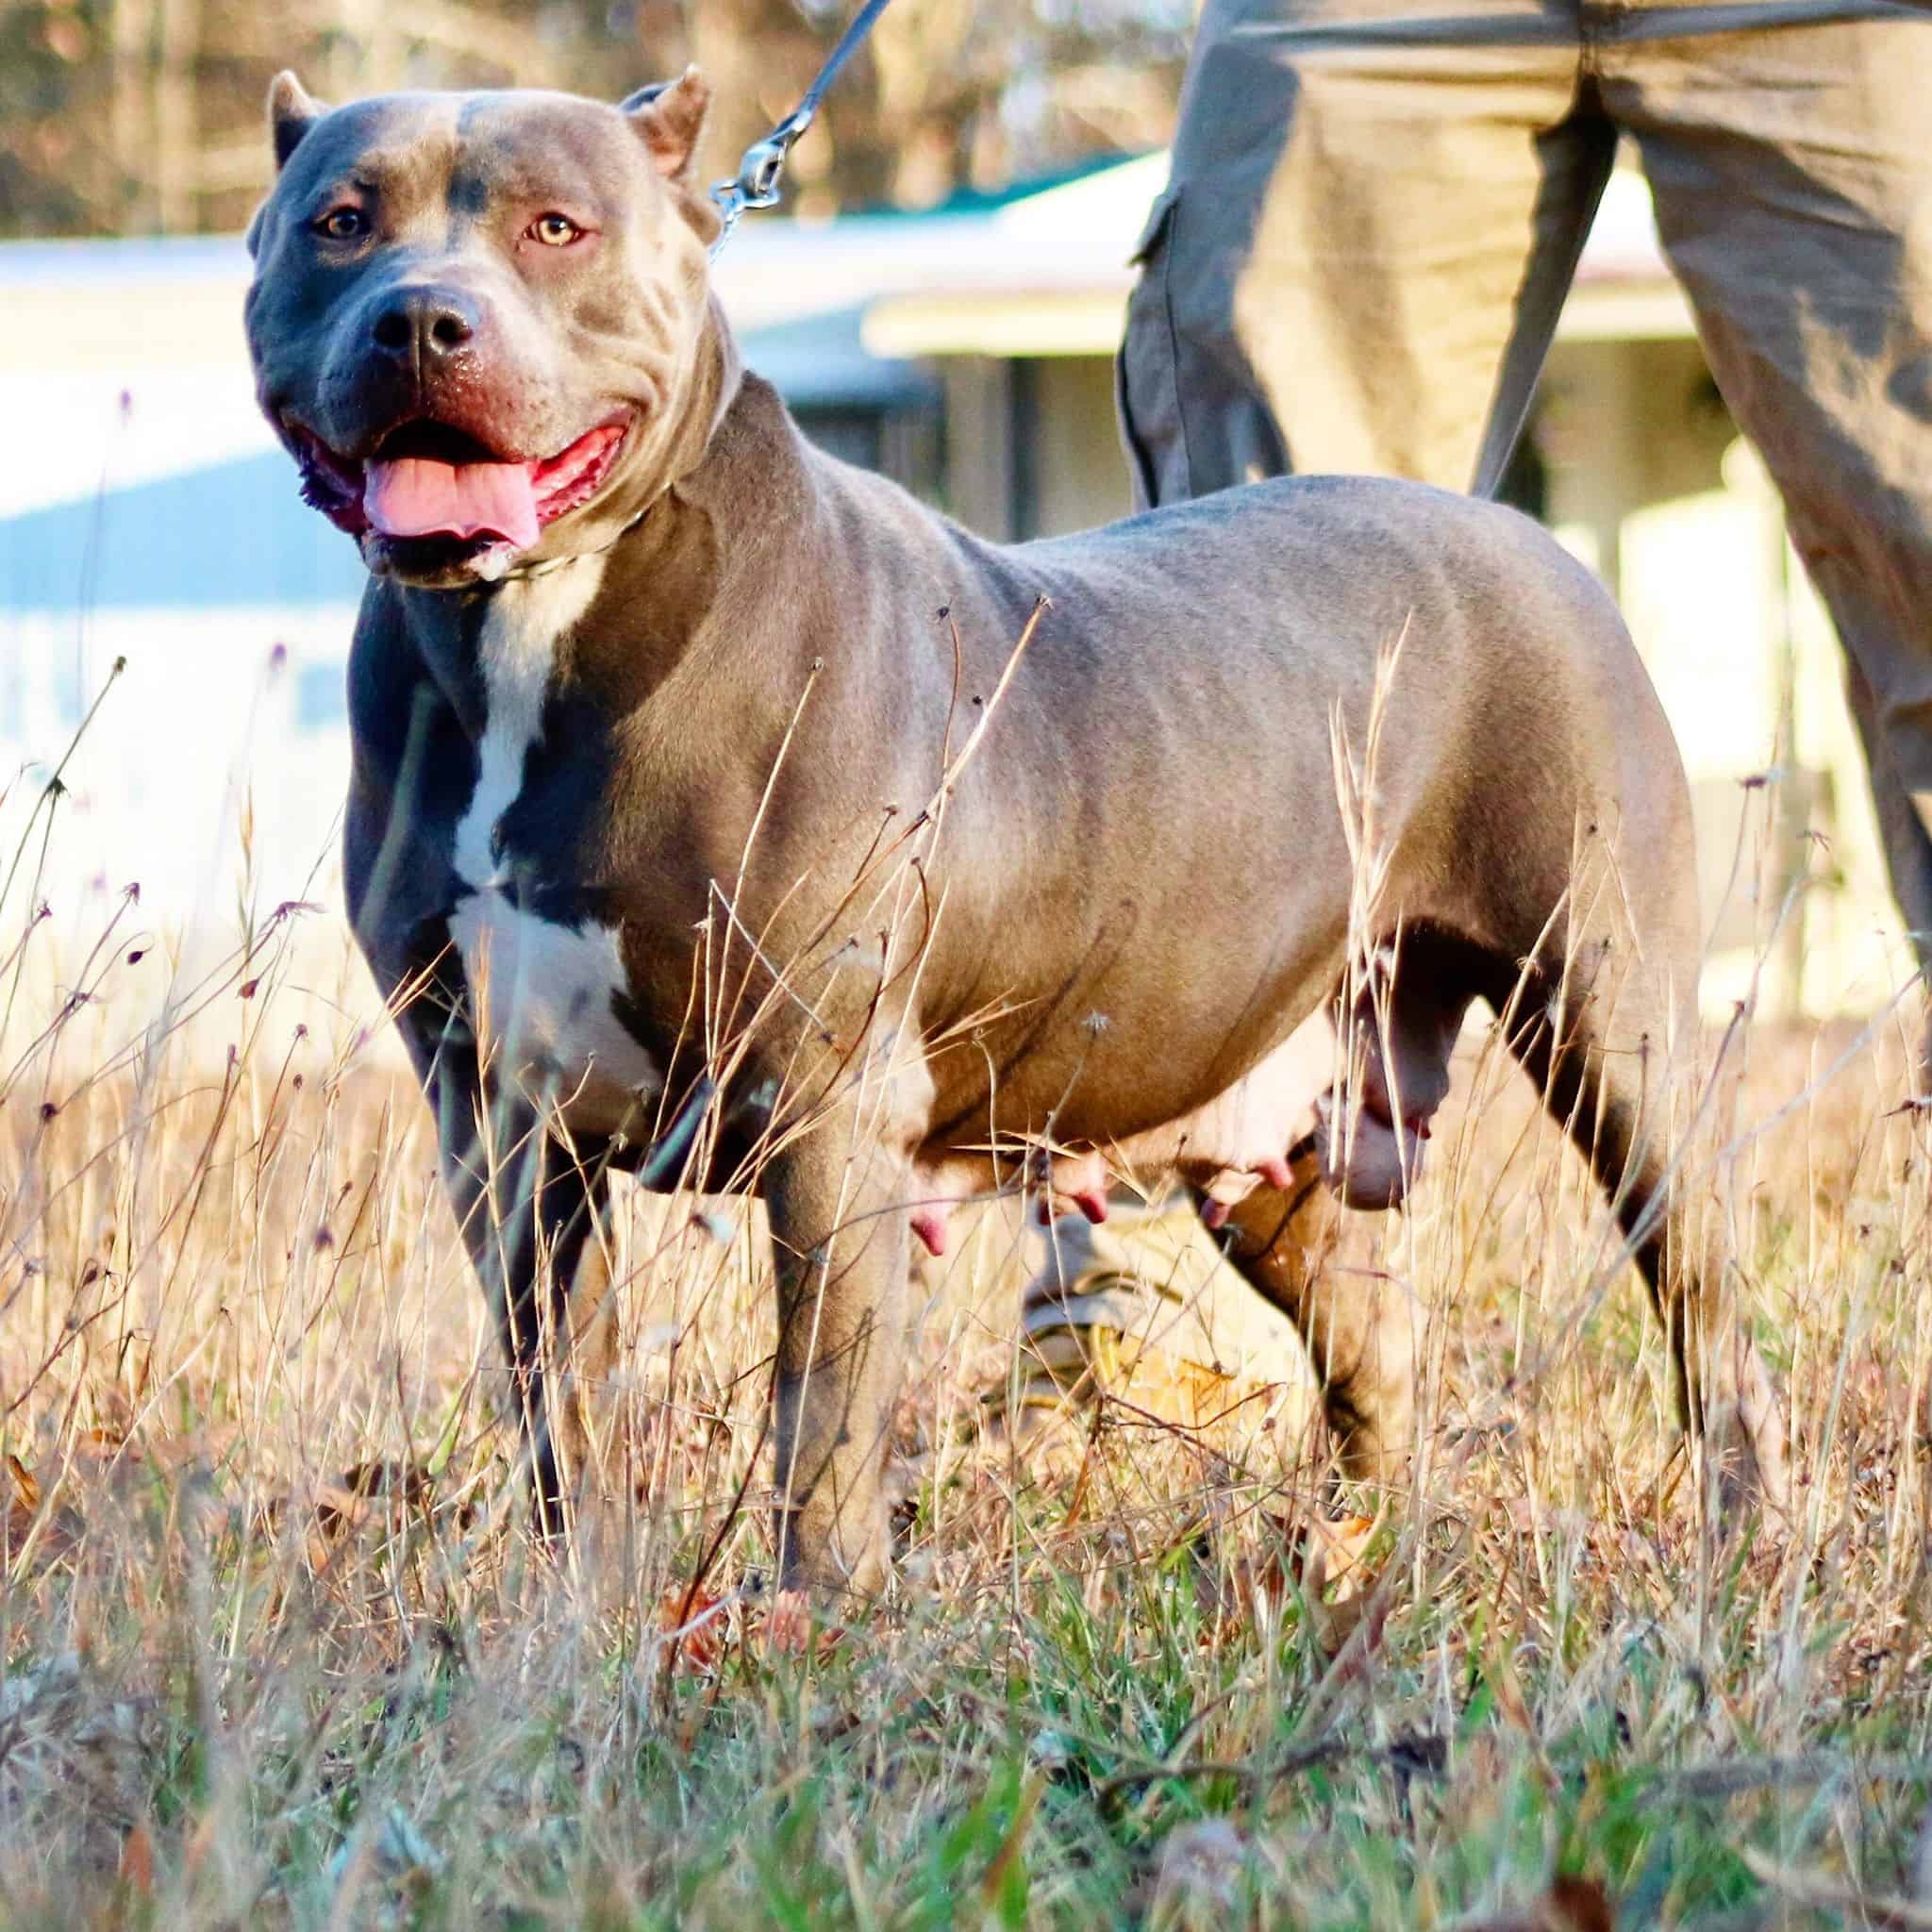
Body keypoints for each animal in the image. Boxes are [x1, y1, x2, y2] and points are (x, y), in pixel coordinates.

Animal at [249, 64, 1785, 1599]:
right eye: (341, 222)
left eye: (555, 227)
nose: (420, 319)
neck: (530, 631)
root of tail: (1525, 535)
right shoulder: (503, 1126)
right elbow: (564, 1408)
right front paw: (592, 1607)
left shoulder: (823, 1113)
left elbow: (820, 1415)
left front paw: (811, 1617)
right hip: (1278, 1137)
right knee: (1369, 1337)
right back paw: (1355, 1552)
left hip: (1615, 1032)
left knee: (1704, 1310)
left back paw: (1737, 1538)